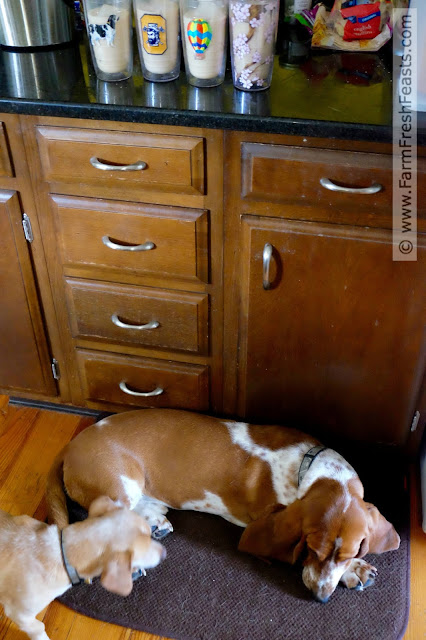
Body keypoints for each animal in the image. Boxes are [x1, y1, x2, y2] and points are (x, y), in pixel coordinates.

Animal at [46, 410, 400, 604]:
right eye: (312, 549)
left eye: (349, 553)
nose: (320, 598)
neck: (308, 468)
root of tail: (71, 445)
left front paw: (355, 569)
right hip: (121, 486)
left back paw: (156, 523)